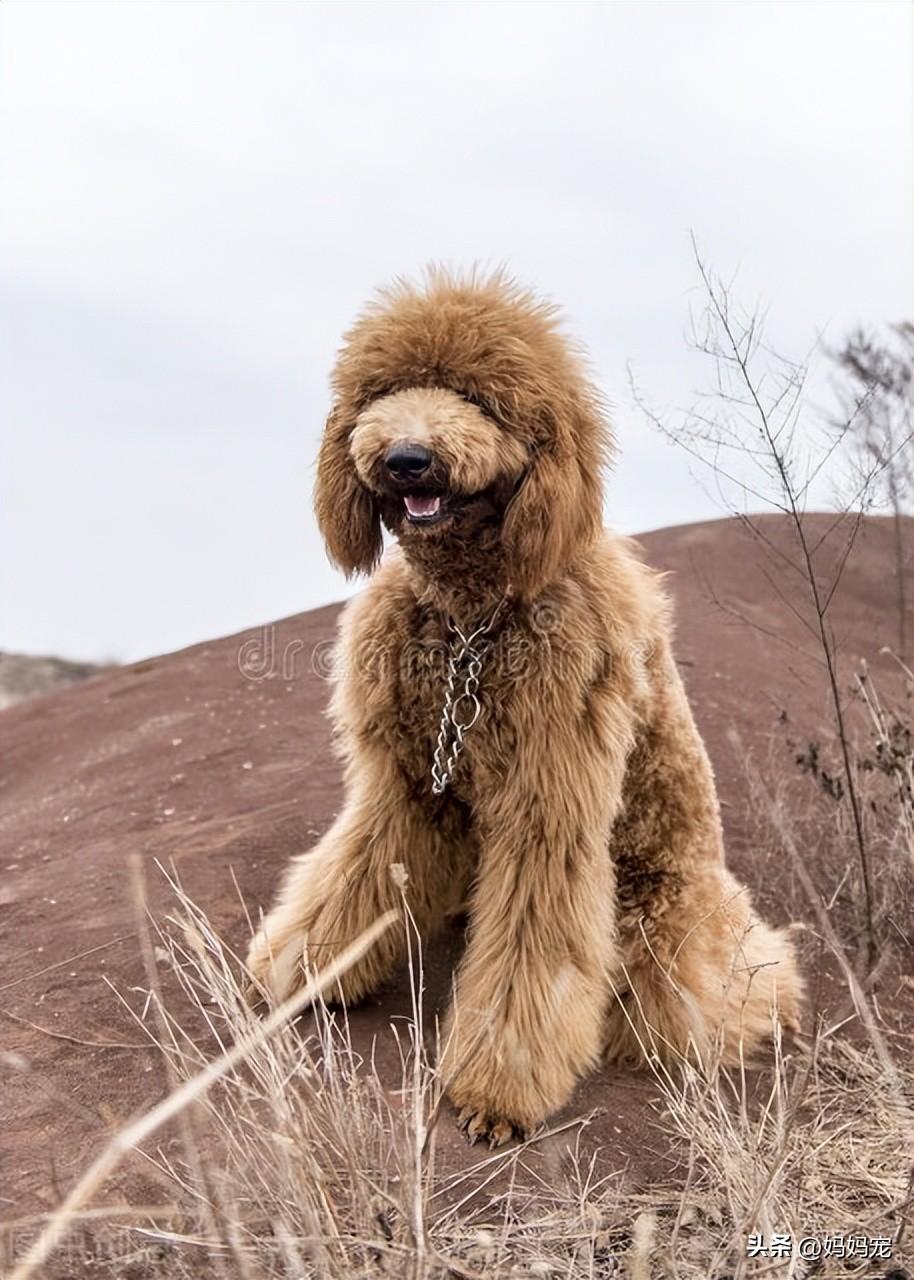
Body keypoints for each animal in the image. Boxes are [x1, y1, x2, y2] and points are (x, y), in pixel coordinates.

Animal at [245, 264, 798, 1146]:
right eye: (386, 390)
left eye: (481, 399)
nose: (406, 458)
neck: (472, 618)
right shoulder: (403, 782)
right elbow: (352, 875)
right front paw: (306, 968)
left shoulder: (549, 805)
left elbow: (529, 954)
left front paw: (496, 1088)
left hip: (662, 921)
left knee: (712, 1000)